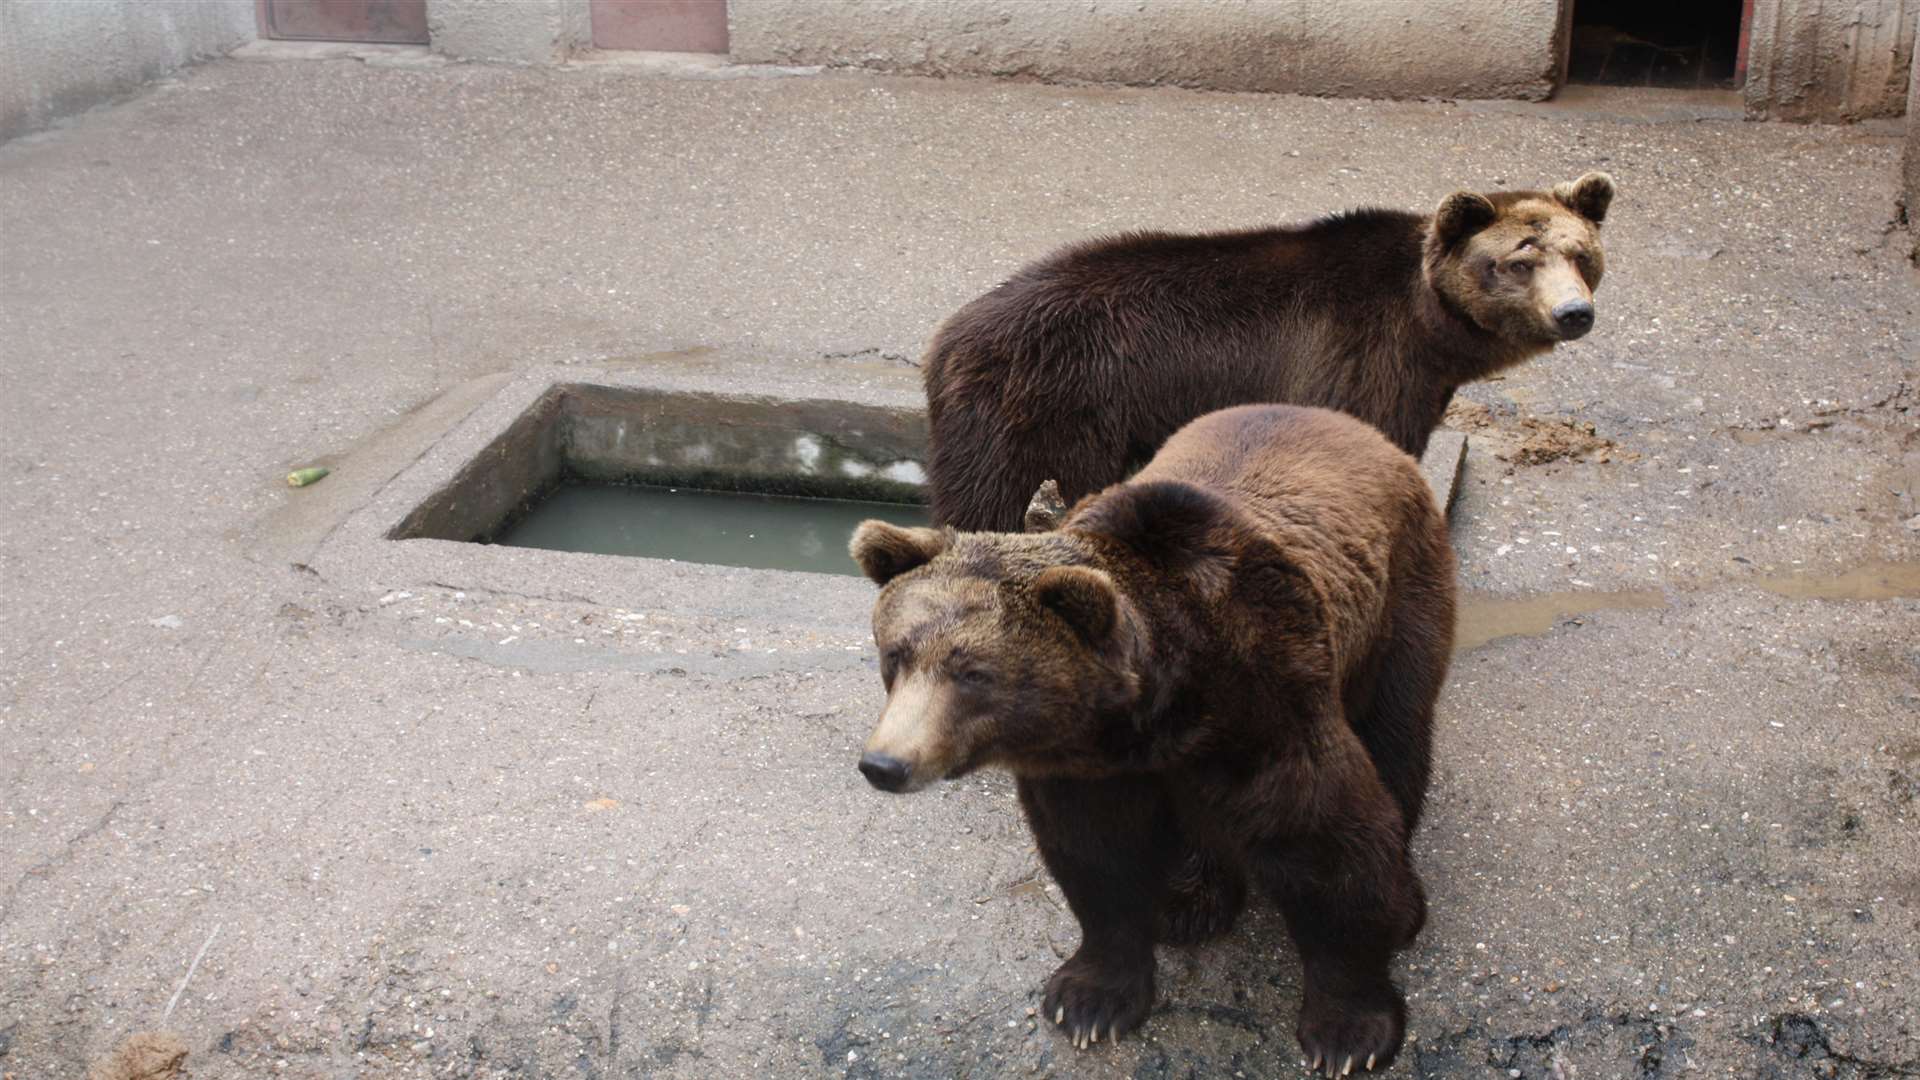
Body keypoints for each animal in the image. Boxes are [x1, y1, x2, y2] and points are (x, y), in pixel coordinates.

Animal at [852, 401, 1451, 1068]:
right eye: (896, 654)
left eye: (972, 672)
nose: (885, 763)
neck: (1158, 709)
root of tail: (1347, 423)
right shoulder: (1094, 769)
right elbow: (1097, 856)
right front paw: (1089, 1001)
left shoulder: (1271, 704)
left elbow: (1329, 843)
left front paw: (1349, 1031)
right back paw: (1191, 901)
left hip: (1399, 602)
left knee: (1397, 737)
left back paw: (1405, 896)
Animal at [921, 170, 1612, 530]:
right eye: (1520, 260)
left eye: (1582, 253)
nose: (1574, 313)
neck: (1428, 331)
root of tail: (949, 332)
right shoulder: (1358, 361)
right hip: (1026, 400)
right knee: (978, 500)